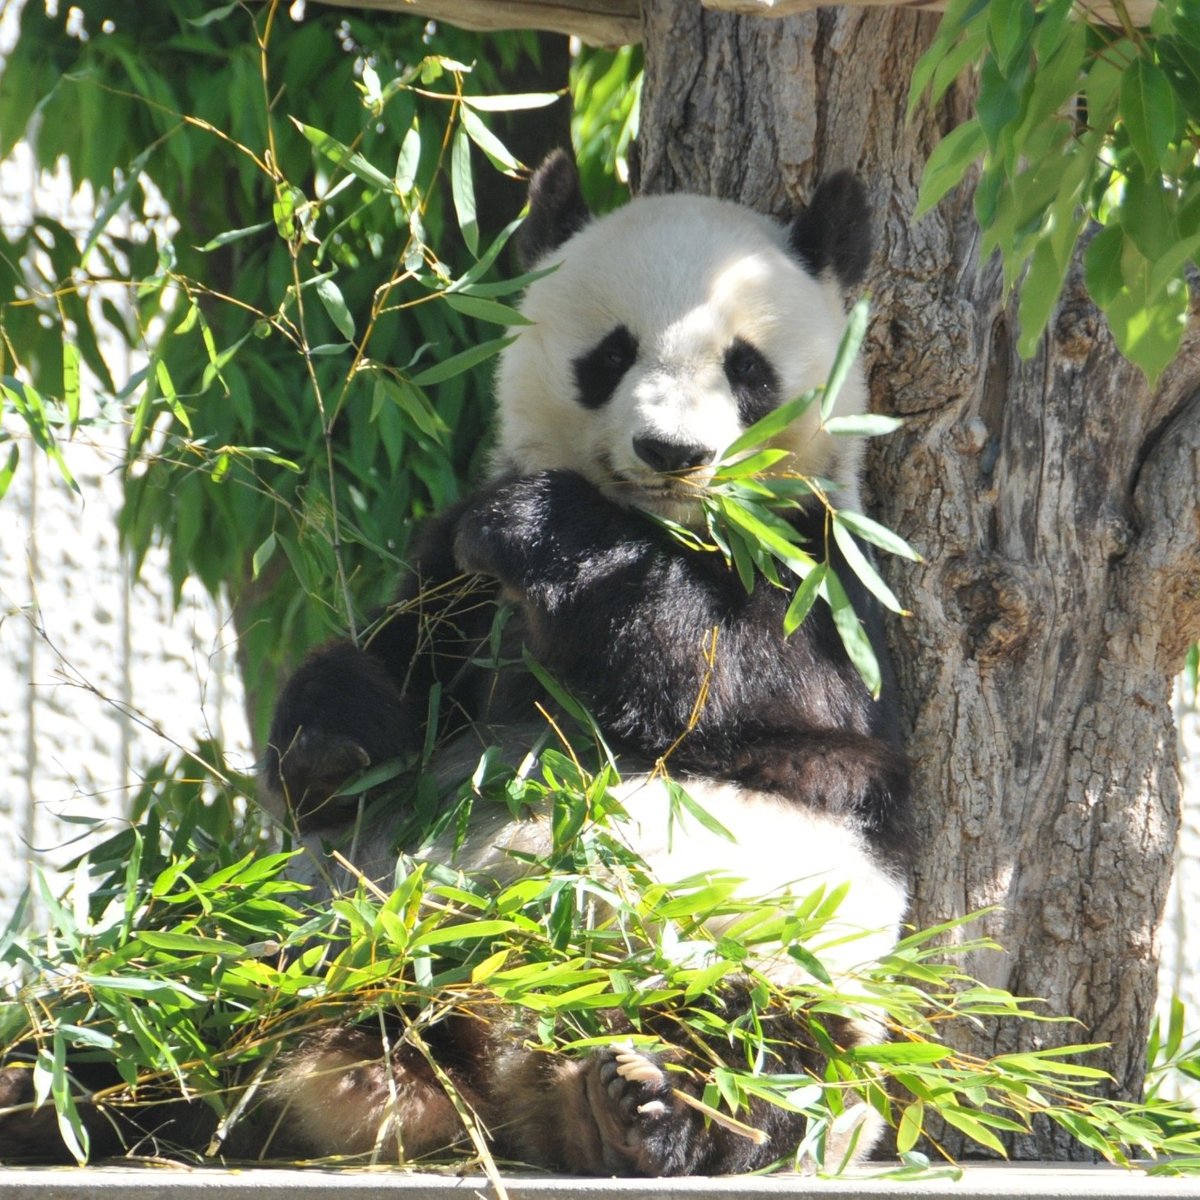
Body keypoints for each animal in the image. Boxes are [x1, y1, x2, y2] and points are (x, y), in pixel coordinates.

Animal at [255, 152, 907, 1180]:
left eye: (747, 369)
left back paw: (648, 1107)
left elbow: (772, 703)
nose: (672, 452)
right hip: (355, 933)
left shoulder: (828, 572)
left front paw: (539, 529)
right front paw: (336, 737)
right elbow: (381, 704)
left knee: (770, 1059)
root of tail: (508, 1070)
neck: (666, 526)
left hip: (788, 965)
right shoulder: (450, 590)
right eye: (610, 355)